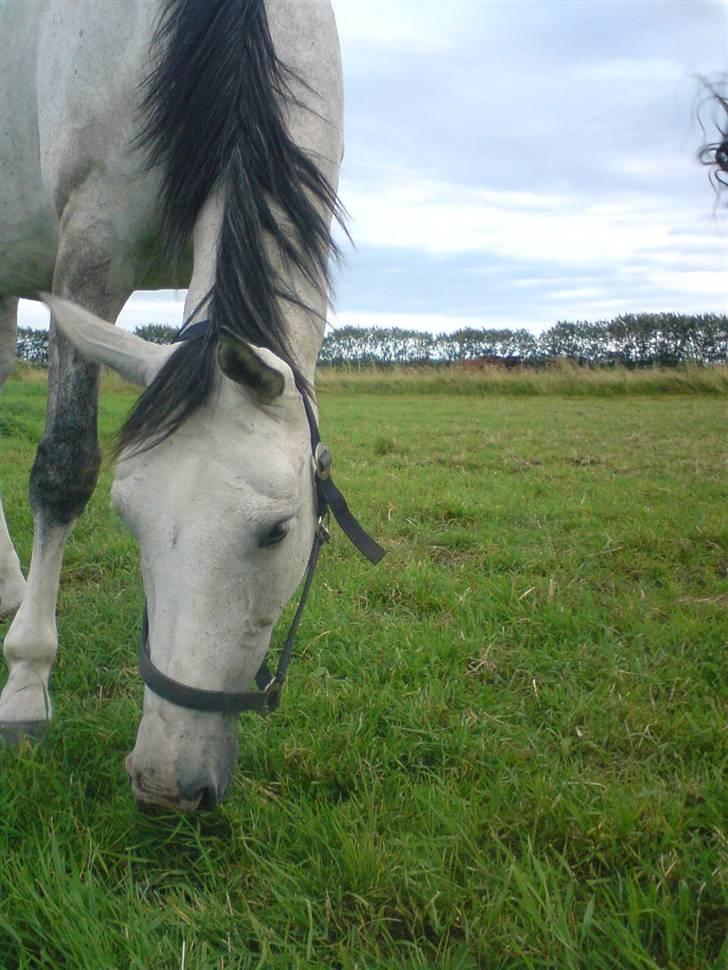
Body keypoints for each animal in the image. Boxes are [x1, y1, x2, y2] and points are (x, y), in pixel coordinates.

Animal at [0, 0, 366, 804]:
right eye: (129, 519)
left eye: (277, 532)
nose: (166, 783)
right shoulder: (90, 250)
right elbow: (64, 467)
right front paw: (26, 686)